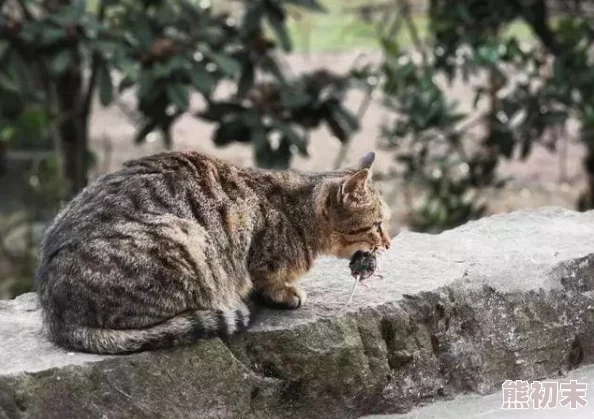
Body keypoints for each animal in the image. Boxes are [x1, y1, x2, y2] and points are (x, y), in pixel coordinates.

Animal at [34, 151, 390, 354]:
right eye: (379, 224)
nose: (388, 244)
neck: (298, 211)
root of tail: (56, 316)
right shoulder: (260, 258)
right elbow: (269, 280)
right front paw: (286, 292)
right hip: (188, 240)